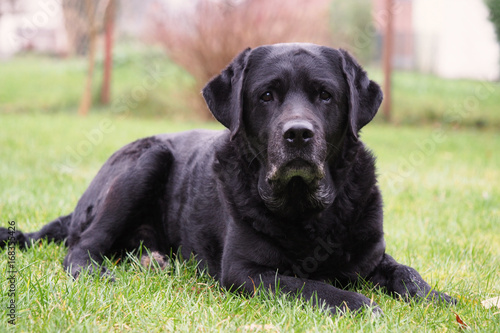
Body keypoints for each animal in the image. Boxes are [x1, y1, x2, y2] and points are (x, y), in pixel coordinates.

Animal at [0, 43, 456, 314]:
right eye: (266, 95)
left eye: (325, 95)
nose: (298, 134)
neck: (308, 211)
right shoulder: (245, 272)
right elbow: (310, 285)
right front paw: (359, 302)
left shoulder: (370, 257)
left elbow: (408, 274)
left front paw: (441, 298)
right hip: (146, 160)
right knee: (80, 248)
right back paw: (100, 271)